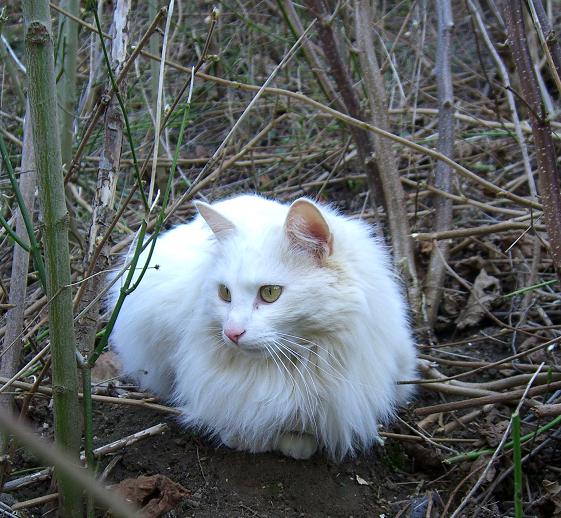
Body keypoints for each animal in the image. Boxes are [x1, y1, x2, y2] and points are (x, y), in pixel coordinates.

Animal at [109, 196, 416, 464]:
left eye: (270, 293)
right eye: (224, 293)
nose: (232, 333)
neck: (286, 369)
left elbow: (302, 431)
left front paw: (295, 442)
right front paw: (247, 440)